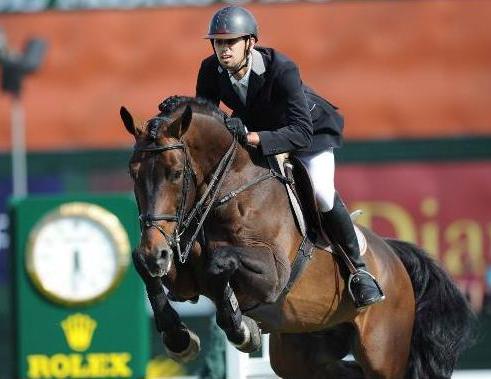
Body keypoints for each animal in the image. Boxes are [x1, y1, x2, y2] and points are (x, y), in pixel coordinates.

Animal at [120, 96, 476, 379]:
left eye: (176, 173)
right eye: (133, 174)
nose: (156, 253)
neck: (227, 188)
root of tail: (393, 256)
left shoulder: (273, 276)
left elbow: (220, 262)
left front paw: (241, 328)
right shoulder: (185, 282)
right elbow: (146, 267)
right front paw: (179, 338)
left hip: (383, 353)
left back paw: (365, 284)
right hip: (302, 352)